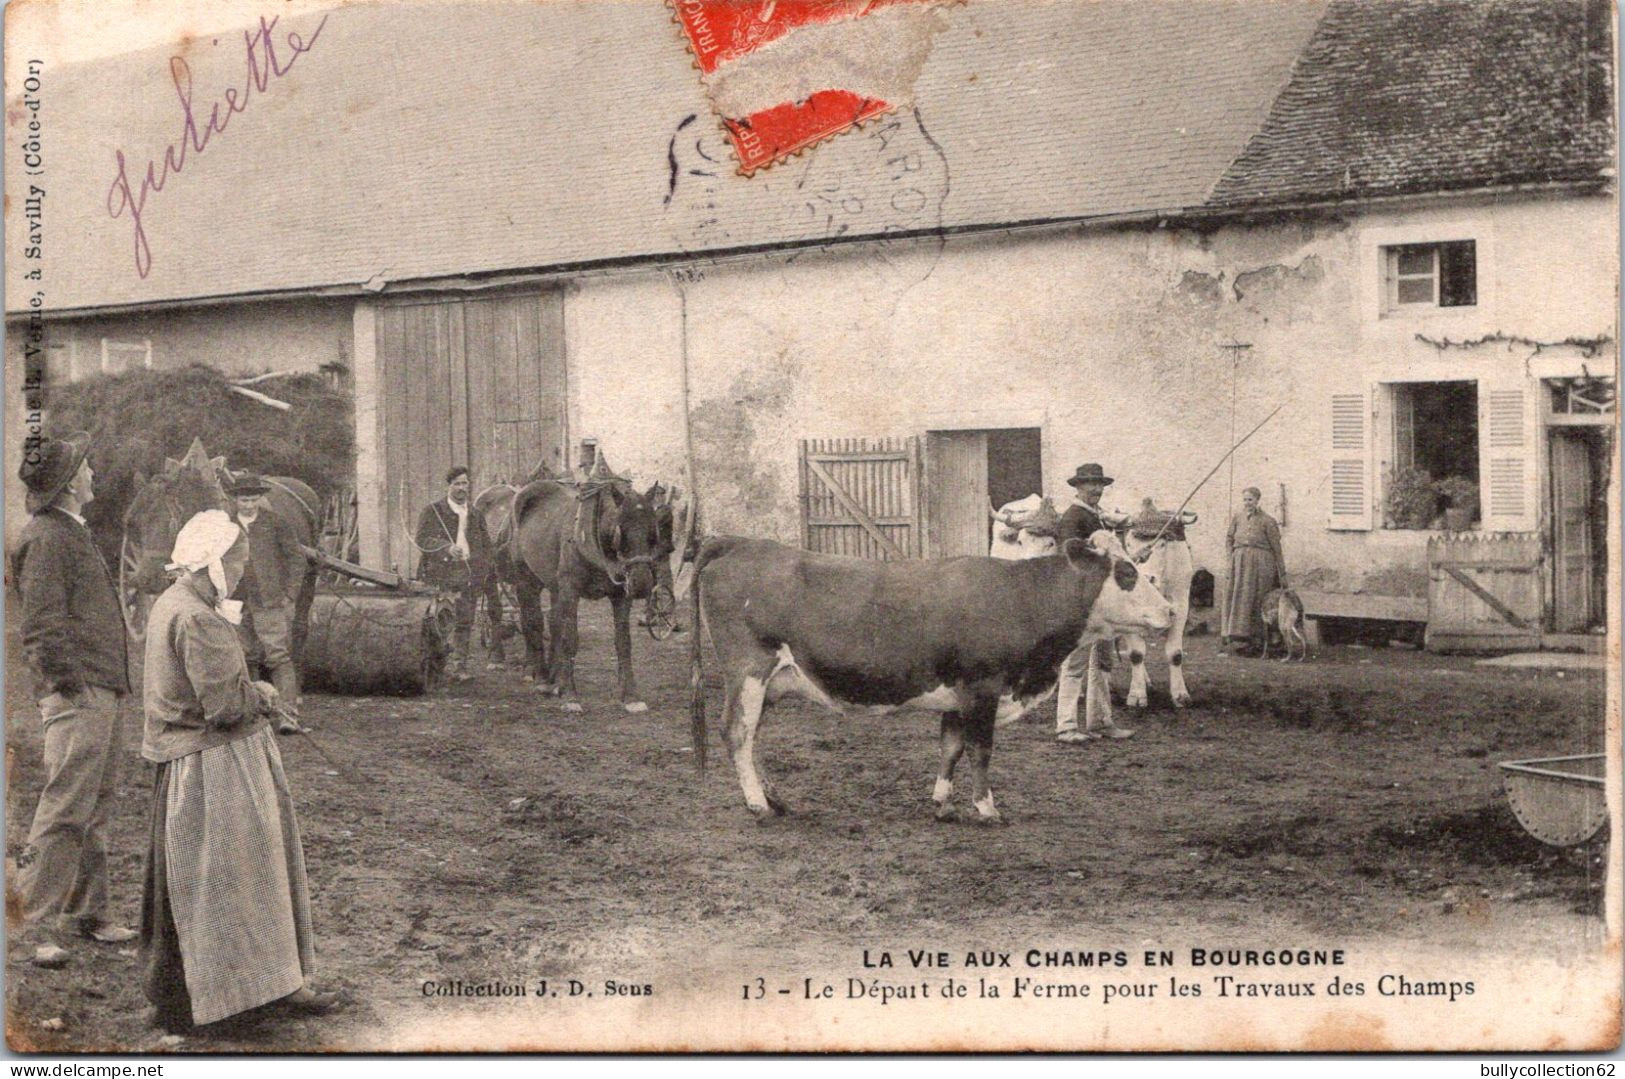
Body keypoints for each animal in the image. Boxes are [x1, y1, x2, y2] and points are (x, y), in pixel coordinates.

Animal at [507, 477, 659, 711]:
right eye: (620, 531)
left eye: (653, 533)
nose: (641, 584)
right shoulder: (570, 591)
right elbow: (570, 639)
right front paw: (571, 696)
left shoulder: (621, 597)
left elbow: (623, 642)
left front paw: (631, 696)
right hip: (526, 580)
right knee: (532, 621)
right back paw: (539, 675)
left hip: (555, 587)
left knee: (554, 623)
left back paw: (554, 678)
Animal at [692, 533, 1176, 825]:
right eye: (1127, 574)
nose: (1172, 610)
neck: (1022, 599)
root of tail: (739, 543)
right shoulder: (983, 687)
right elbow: (980, 752)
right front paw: (987, 808)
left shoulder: (958, 696)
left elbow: (951, 749)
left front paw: (942, 804)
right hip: (748, 671)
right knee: (737, 733)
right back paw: (757, 804)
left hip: (770, 682)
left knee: (752, 737)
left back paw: (775, 798)